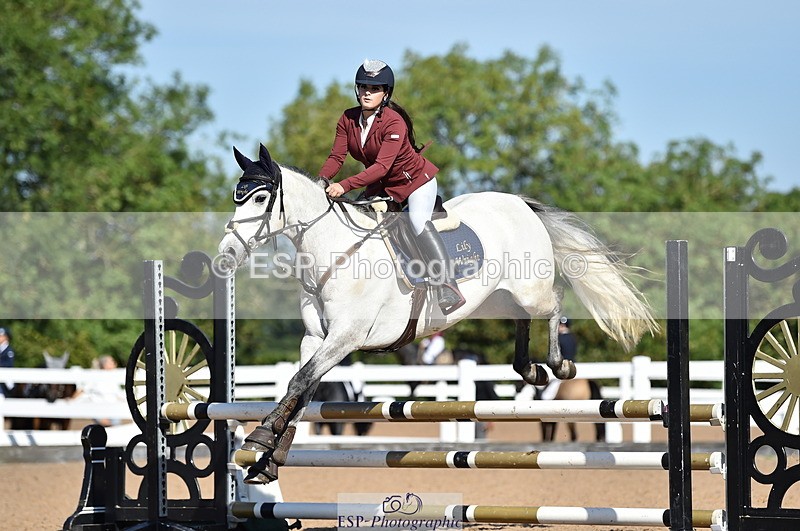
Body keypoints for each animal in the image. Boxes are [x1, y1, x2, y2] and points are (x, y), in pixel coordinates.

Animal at [217, 144, 658, 484]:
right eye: (237, 197)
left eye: (260, 198)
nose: (226, 254)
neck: (335, 253)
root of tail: (520, 203)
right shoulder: (318, 339)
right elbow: (303, 391)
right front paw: (269, 460)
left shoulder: (346, 337)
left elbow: (299, 382)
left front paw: (259, 439)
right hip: (498, 296)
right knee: (521, 318)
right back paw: (529, 369)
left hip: (529, 288)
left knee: (554, 304)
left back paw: (556, 364)